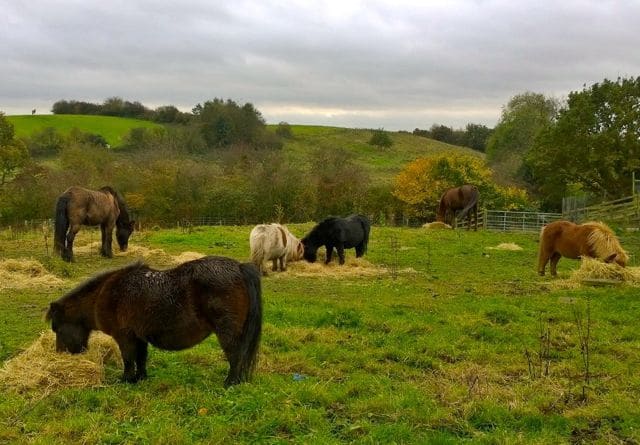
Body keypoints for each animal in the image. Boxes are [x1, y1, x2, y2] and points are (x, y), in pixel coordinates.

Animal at [45, 256, 262, 387]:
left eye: (57, 328)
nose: (60, 355)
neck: (105, 294)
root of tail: (239, 267)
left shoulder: (124, 337)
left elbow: (128, 359)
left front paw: (125, 380)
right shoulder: (139, 337)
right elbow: (141, 358)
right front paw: (140, 379)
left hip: (226, 333)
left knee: (235, 356)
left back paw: (230, 383)